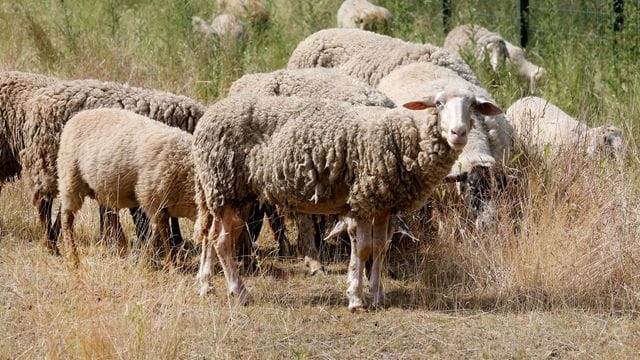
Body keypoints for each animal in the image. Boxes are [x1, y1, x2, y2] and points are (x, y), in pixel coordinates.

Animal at [57, 108, 198, 266]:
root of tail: (78, 116)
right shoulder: (152, 198)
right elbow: (161, 231)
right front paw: (162, 261)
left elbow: (159, 231)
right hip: (70, 178)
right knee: (67, 218)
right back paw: (73, 257)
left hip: (104, 188)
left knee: (110, 214)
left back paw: (121, 247)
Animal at [192, 91, 502, 310]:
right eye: (438, 103)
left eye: (473, 105)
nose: (459, 132)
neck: (407, 137)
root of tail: (208, 116)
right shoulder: (364, 198)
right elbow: (363, 249)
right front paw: (356, 298)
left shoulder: (384, 204)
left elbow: (380, 248)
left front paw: (377, 295)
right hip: (223, 184)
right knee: (221, 242)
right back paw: (240, 292)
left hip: (229, 195)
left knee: (210, 235)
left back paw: (207, 285)